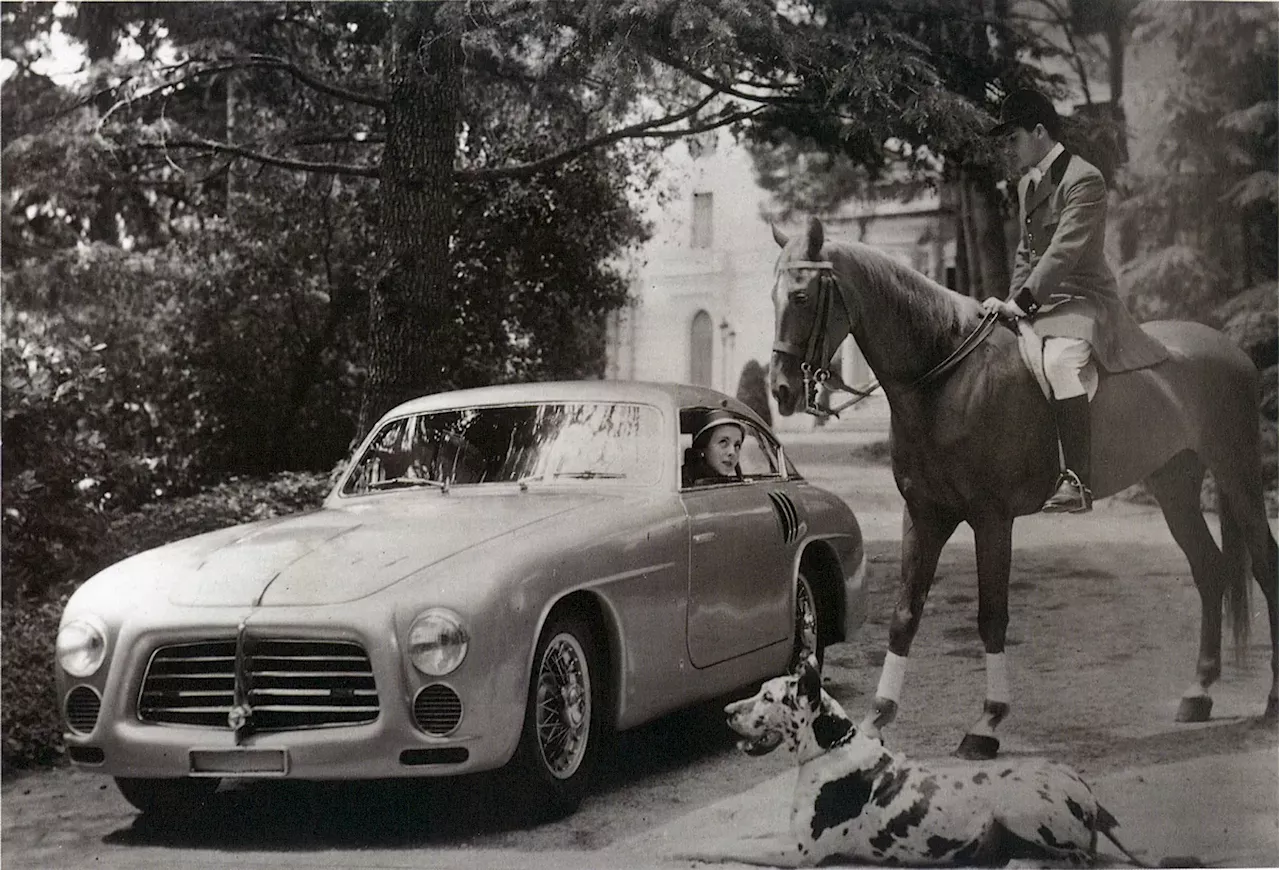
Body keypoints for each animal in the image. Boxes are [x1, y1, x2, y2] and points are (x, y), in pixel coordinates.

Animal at [721, 660, 1152, 864]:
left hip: (1015, 808)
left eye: (768, 697)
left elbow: (725, 847)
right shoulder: (788, 839)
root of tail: (1090, 796)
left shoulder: (800, 852)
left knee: (1079, 858)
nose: (726, 712)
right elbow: (745, 838)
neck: (832, 747)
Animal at [762, 213, 1274, 757]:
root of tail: (1230, 348)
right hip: (1175, 485)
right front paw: (877, 719)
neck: (948, 375)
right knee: (1210, 570)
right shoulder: (924, 514)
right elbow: (905, 613)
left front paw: (987, 722)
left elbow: (992, 616)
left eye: (801, 296)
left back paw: (1271, 703)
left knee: (1265, 565)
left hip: (1238, 474)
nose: (781, 390)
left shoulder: (991, 519)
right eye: (771, 297)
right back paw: (1199, 692)